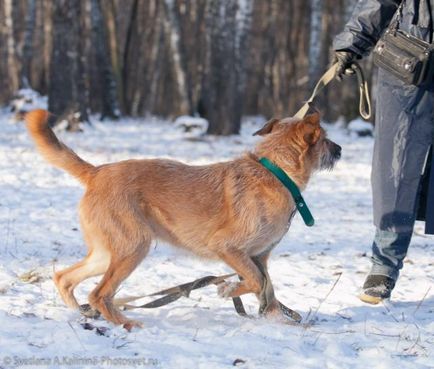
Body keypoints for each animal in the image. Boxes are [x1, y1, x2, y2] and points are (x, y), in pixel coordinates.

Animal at [25, 109, 340, 328]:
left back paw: (80, 311)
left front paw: (277, 321)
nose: (340, 149)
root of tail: (97, 172)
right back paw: (125, 323)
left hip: (108, 253)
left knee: (65, 278)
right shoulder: (229, 248)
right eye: (324, 138)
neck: (275, 172)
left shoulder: (259, 256)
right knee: (100, 293)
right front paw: (228, 290)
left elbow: (267, 289)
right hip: (133, 248)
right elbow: (255, 281)